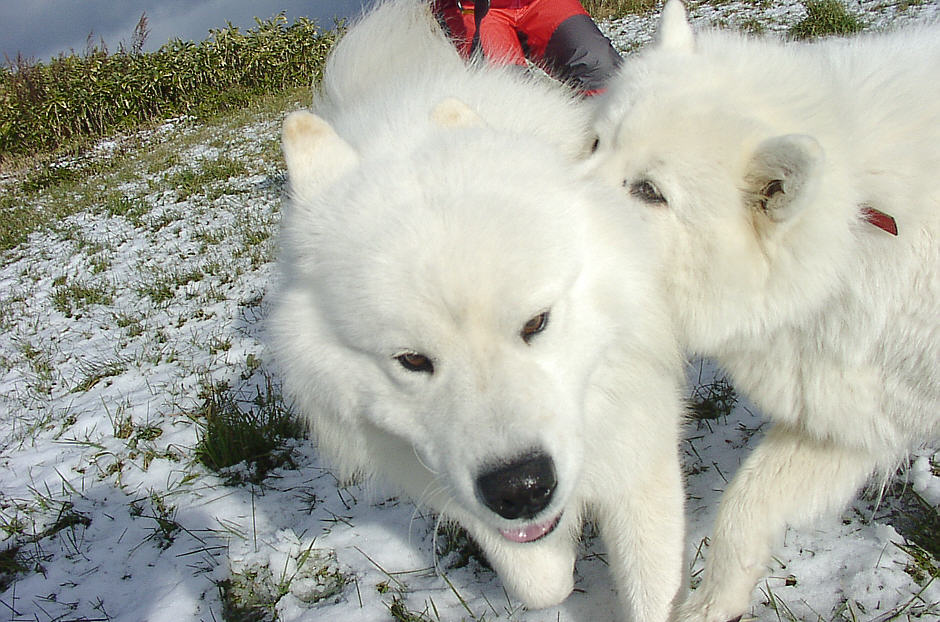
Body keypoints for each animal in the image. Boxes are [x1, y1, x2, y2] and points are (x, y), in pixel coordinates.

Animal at [268, 2, 688, 620]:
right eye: (412, 361)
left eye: (536, 324)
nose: (520, 488)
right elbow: (540, 583)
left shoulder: (640, 444)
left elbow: (651, 586)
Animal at [588, 2, 940, 620]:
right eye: (595, 144)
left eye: (650, 191)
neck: (856, 229)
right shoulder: (848, 417)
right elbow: (744, 507)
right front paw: (713, 604)